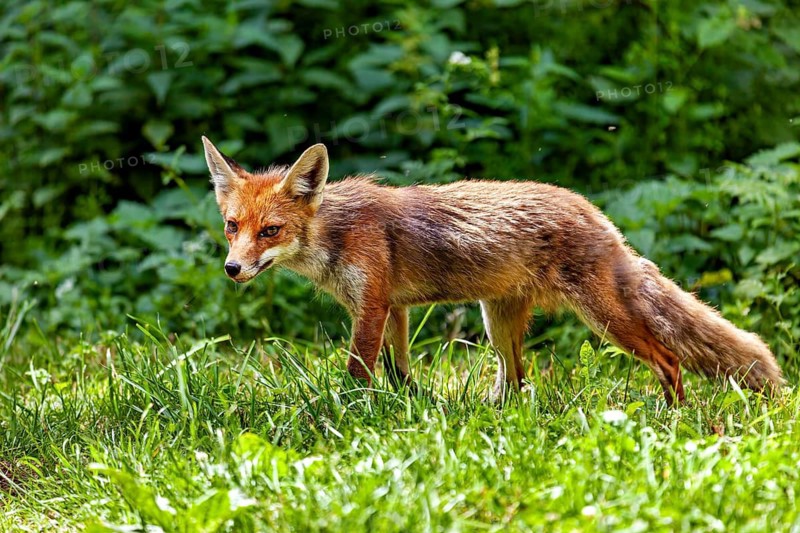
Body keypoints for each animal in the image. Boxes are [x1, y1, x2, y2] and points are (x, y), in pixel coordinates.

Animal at [202, 136, 783, 405]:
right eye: (232, 225)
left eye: (270, 231)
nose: (232, 269)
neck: (335, 235)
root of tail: (598, 215)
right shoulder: (392, 308)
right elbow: (398, 370)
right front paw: (408, 406)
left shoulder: (371, 305)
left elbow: (358, 371)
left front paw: (350, 413)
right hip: (496, 320)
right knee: (518, 380)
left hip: (603, 318)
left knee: (669, 359)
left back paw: (673, 418)